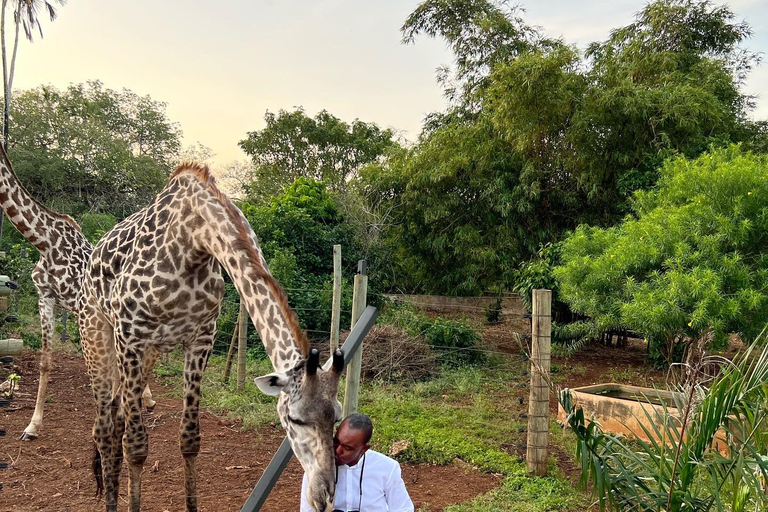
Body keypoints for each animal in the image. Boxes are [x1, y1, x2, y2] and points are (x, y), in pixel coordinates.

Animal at [0, 144, 158, 440]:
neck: (44, 242)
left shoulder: (79, 305)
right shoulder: (45, 297)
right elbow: (45, 362)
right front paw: (32, 426)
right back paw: (146, 399)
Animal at [78, 163, 342, 512]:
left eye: (337, 417)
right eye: (295, 419)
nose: (323, 495)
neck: (192, 237)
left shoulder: (202, 336)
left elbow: (189, 439)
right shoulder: (130, 336)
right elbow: (136, 445)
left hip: (149, 352)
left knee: (117, 418)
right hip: (97, 334)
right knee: (105, 428)